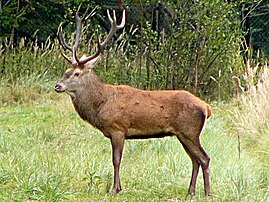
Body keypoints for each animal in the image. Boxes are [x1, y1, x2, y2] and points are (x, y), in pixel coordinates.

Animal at [55, 4, 211, 196]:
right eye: (66, 71)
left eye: (76, 73)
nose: (57, 86)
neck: (101, 104)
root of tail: (206, 108)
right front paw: (118, 187)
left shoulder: (118, 128)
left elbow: (116, 160)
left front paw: (114, 189)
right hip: (183, 134)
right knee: (195, 159)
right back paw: (190, 191)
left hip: (190, 131)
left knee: (204, 158)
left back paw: (207, 192)